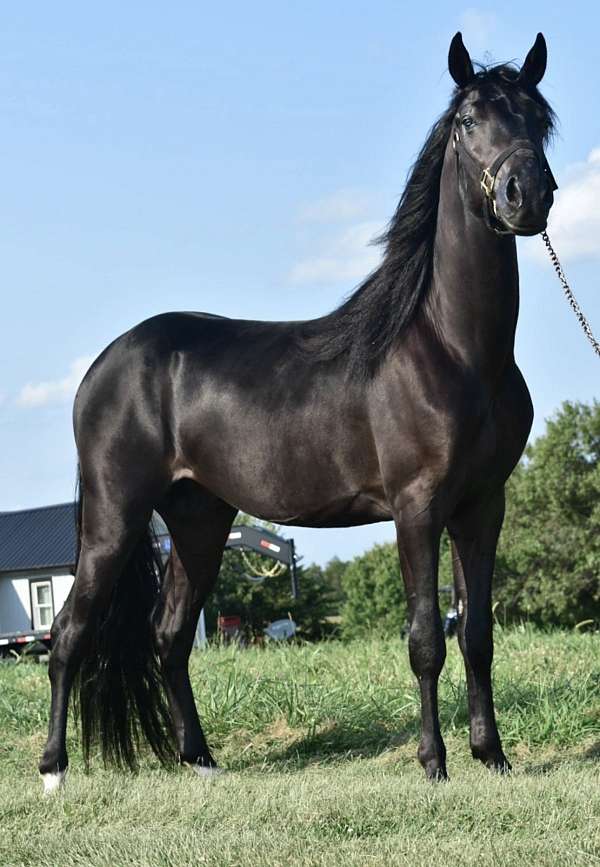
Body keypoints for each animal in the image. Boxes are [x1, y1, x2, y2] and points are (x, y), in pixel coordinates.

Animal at [39, 31, 557, 791]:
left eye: (538, 119)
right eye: (468, 122)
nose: (528, 196)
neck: (454, 348)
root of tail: (103, 366)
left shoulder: (482, 506)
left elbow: (478, 634)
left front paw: (493, 756)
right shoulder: (417, 507)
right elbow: (426, 638)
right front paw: (434, 764)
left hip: (198, 520)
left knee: (169, 635)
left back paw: (201, 760)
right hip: (114, 518)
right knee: (70, 633)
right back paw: (54, 771)